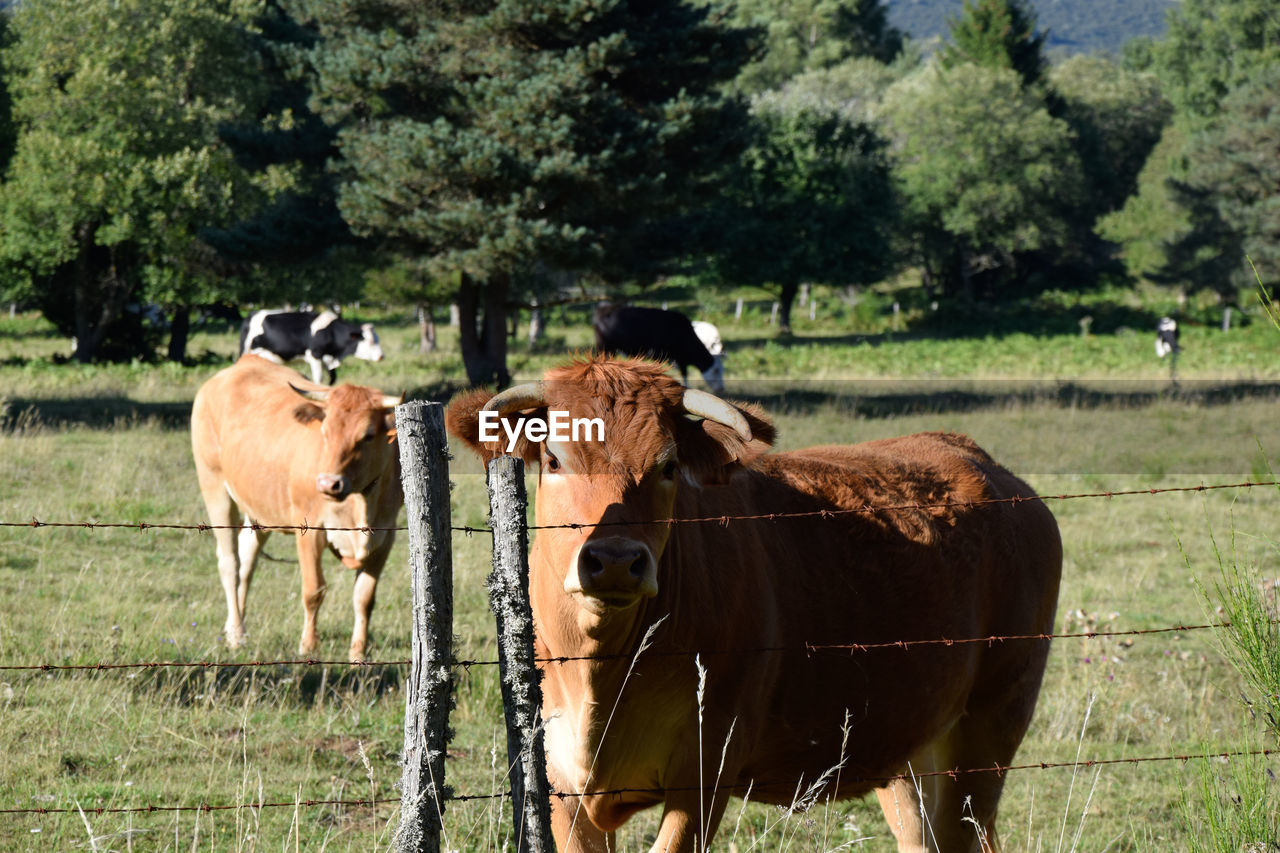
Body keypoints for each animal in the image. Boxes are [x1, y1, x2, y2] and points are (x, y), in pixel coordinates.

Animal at [188, 350, 399, 655]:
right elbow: (314, 590)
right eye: (325, 431)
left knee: (247, 560)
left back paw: (234, 627)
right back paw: (237, 634)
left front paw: (358, 654)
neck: (360, 505)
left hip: (259, 508)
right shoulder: (310, 530)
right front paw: (308, 646)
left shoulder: (385, 537)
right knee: (230, 563)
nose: (328, 483)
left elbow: (364, 598)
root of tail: (246, 362)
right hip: (214, 486)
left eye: (368, 435)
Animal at [238, 308, 381, 381]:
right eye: (369, 341)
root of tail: (252, 314)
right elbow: (318, 379)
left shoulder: (327, 360)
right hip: (246, 351)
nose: (381, 356)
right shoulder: (315, 356)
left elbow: (333, 379)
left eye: (377, 339)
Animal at [445, 356, 1064, 850]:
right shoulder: (558, 780)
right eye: (554, 460)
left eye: (668, 466)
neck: (602, 671)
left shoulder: (706, 767)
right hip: (909, 745)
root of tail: (979, 461)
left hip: (991, 725)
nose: (616, 560)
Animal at [591, 303, 727, 394]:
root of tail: (604, 308)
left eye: (722, 370)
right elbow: (683, 375)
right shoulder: (673, 357)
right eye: (715, 370)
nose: (721, 389)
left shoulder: (680, 359)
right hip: (603, 347)